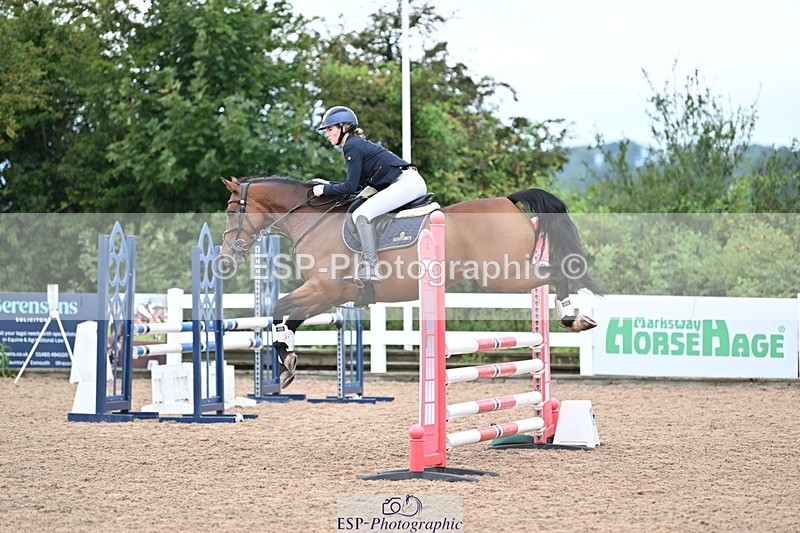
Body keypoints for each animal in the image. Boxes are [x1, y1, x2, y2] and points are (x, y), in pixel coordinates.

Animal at [219, 176, 604, 388]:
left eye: (230, 209)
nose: (226, 257)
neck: (314, 222)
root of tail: (508, 201)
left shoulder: (324, 290)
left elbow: (279, 307)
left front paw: (286, 358)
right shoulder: (327, 296)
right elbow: (289, 318)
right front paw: (287, 361)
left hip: (502, 276)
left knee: (558, 272)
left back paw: (572, 317)